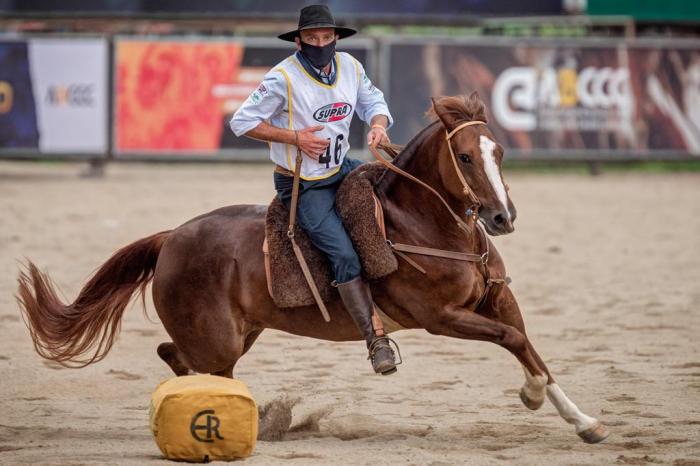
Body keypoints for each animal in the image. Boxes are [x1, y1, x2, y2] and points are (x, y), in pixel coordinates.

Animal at [15, 92, 608, 444]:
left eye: (499, 151)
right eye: (464, 157)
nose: (502, 218)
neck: (426, 224)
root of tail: (170, 238)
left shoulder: (497, 297)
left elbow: (528, 345)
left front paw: (580, 420)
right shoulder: (442, 317)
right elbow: (513, 340)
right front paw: (534, 397)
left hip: (239, 334)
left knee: (180, 359)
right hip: (218, 339)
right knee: (196, 365)